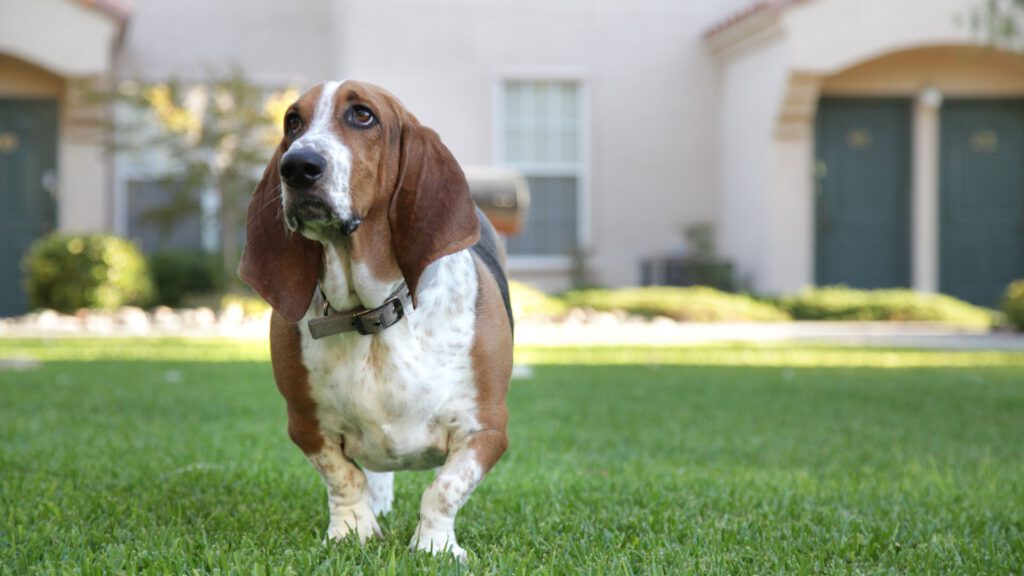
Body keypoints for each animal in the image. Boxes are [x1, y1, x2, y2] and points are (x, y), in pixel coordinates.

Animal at [237, 78, 512, 557]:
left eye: (362, 115)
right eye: (292, 121)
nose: (297, 166)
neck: (371, 314)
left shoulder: (487, 430)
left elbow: (444, 489)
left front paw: (434, 546)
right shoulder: (306, 424)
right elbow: (345, 478)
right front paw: (352, 532)